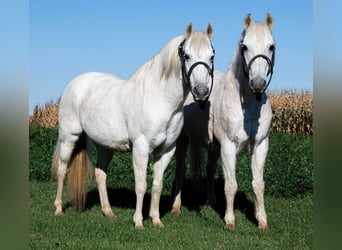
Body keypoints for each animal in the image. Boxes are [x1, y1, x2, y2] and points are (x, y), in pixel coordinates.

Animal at [50, 23, 214, 229]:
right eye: (186, 55)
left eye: (211, 55)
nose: (201, 91)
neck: (160, 100)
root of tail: (74, 83)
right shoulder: (141, 148)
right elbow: (141, 185)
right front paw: (138, 222)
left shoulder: (167, 150)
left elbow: (157, 184)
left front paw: (156, 220)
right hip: (69, 138)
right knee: (62, 170)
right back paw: (58, 209)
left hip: (104, 146)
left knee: (100, 174)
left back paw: (108, 212)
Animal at [171, 13, 276, 229]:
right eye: (245, 47)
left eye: (271, 46)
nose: (258, 84)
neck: (247, 106)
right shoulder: (228, 146)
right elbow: (231, 185)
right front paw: (229, 220)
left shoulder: (260, 145)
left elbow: (258, 185)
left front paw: (262, 220)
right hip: (183, 141)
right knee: (180, 170)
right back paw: (176, 207)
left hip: (213, 148)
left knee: (210, 170)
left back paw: (212, 202)